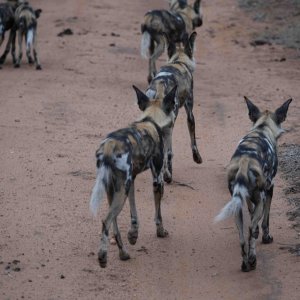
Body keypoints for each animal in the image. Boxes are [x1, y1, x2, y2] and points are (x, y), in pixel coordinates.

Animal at [90, 84, 177, 268]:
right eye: (173, 107)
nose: (174, 117)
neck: (150, 119)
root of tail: (109, 146)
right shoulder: (157, 180)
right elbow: (158, 214)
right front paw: (160, 231)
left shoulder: (132, 181)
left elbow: (134, 212)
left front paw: (133, 235)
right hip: (120, 191)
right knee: (106, 221)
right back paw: (103, 256)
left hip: (117, 190)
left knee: (114, 224)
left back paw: (123, 253)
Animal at [145, 31, 202, 184]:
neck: (178, 62)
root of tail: (159, 85)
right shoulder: (190, 112)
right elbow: (193, 141)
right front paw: (197, 158)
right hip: (170, 125)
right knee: (169, 153)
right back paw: (167, 176)